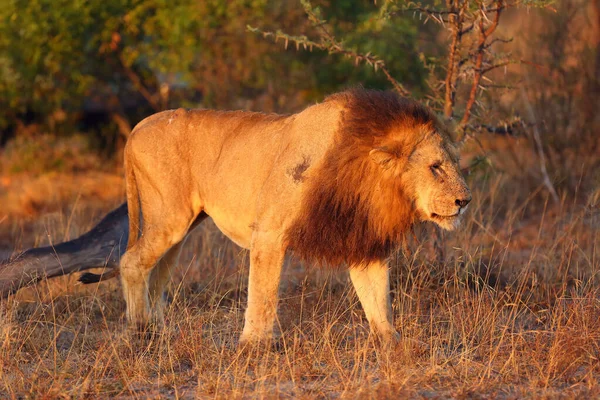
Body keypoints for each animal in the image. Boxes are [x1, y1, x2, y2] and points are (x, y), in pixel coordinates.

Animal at [111, 89, 468, 346]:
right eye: (435, 167)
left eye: (455, 163)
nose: (465, 201)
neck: (368, 178)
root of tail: (139, 126)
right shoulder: (269, 232)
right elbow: (263, 294)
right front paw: (253, 346)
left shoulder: (362, 241)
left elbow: (378, 299)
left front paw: (392, 343)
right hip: (170, 218)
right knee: (131, 262)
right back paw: (141, 330)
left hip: (180, 228)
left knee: (157, 273)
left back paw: (160, 331)